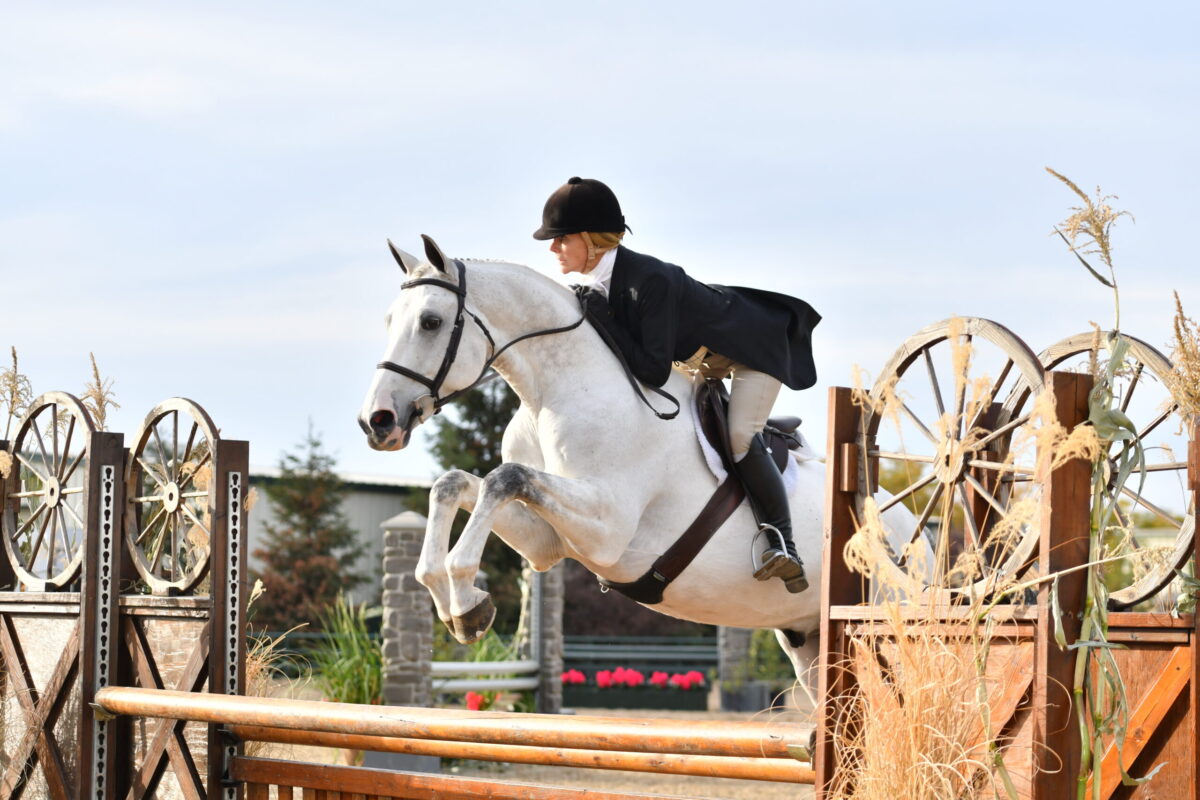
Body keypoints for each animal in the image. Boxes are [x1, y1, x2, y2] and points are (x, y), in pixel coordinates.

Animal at [358, 235, 914, 680]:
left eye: (431, 322)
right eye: (387, 321)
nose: (376, 421)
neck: (553, 393)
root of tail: (911, 528)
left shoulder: (606, 528)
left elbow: (505, 477)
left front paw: (463, 593)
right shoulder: (547, 541)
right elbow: (455, 483)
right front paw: (457, 602)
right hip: (807, 642)